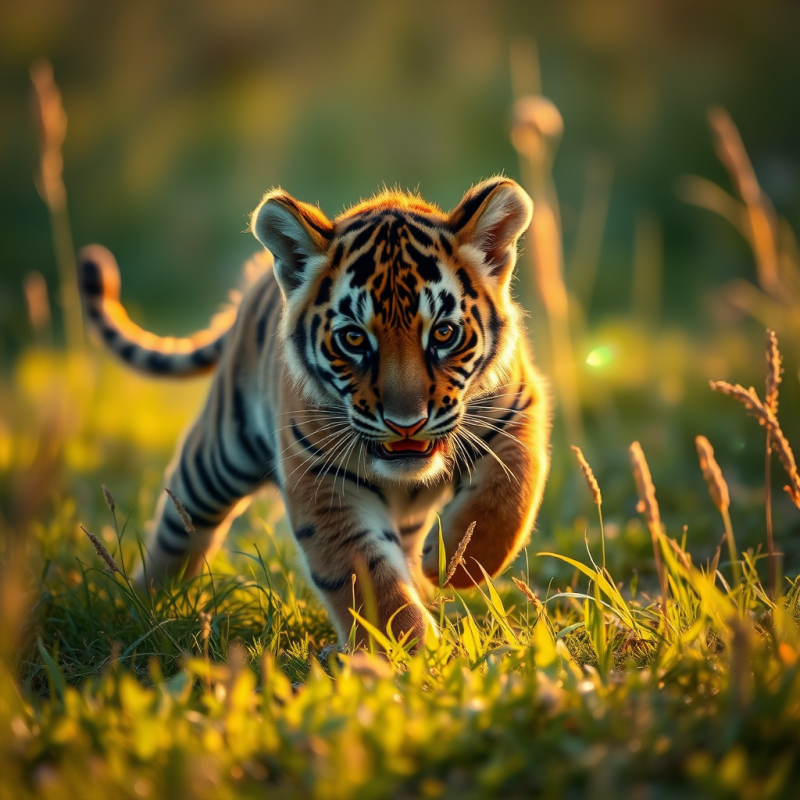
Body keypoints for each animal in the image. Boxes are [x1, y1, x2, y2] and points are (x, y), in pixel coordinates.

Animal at [78, 176, 550, 649]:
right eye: (354, 339)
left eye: (444, 333)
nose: (406, 424)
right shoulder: (322, 482)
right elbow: (371, 583)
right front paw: (411, 654)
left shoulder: (518, 410)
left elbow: (508, 497)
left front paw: (452, 563)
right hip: (217, 460)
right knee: (180, 524)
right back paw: (143, 608)